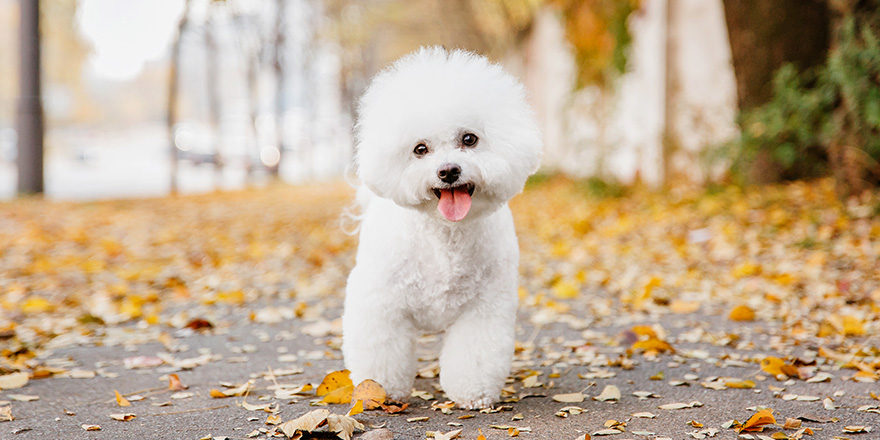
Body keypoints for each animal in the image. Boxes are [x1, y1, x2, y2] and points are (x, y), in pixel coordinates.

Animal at [344, 45, 544, 410]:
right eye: (420, 149)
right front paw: (378, 390)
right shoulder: (381, 303)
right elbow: (380, 351)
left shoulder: (484, 307)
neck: (445, 236)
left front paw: (472, 393)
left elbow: (475, 354)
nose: (448, 171)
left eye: (469, 139)